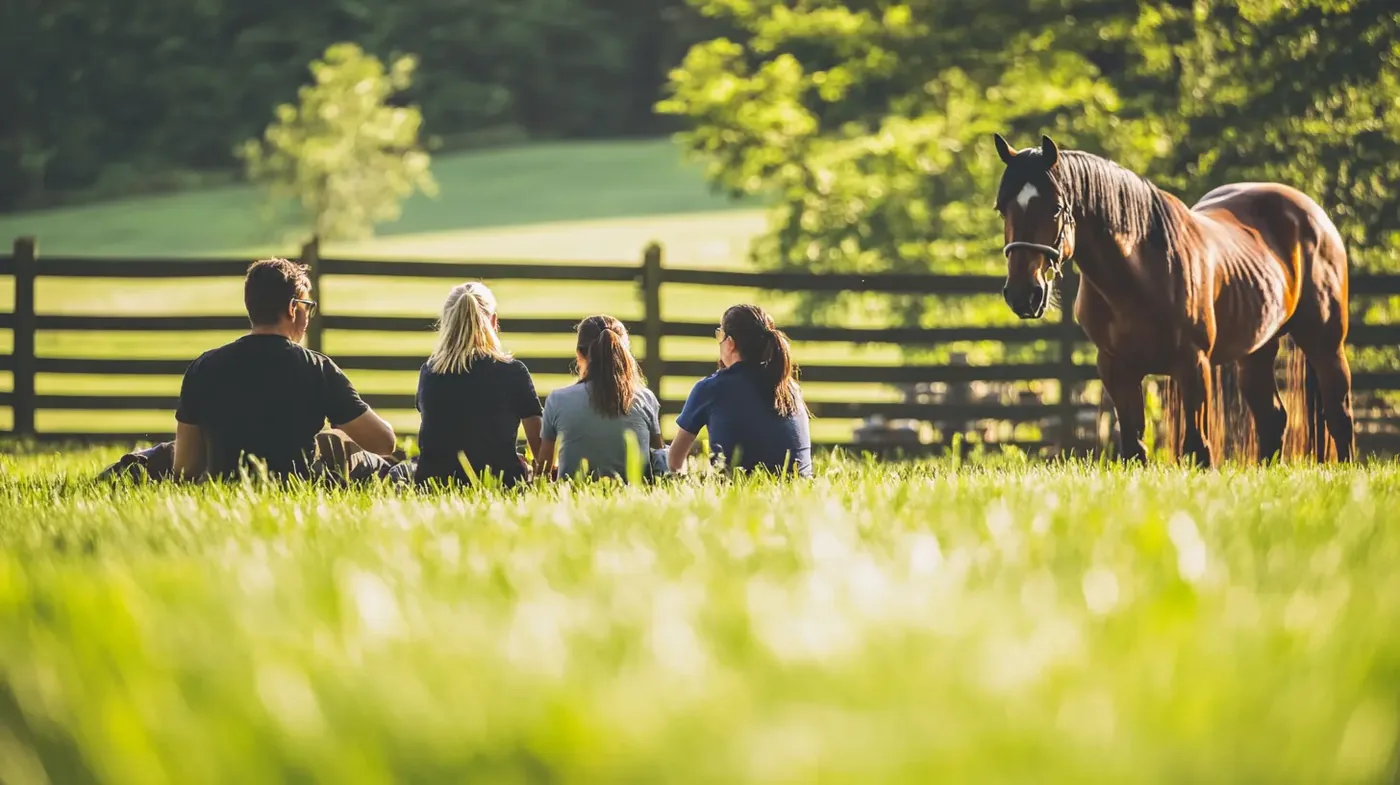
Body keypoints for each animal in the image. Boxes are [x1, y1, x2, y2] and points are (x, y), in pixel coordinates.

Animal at [991, 134, 1354, 466]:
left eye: (1055, 208)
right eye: (1002, 209)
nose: (1023, 294)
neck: (1138, 276)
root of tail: (1314, 215)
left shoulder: (1193, 365)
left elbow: (1197, 449)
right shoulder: (1116, 369)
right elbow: (1134, 449)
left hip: (1326, 344)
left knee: (1339, 415)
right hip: (1257, 351)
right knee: (1272, 419)